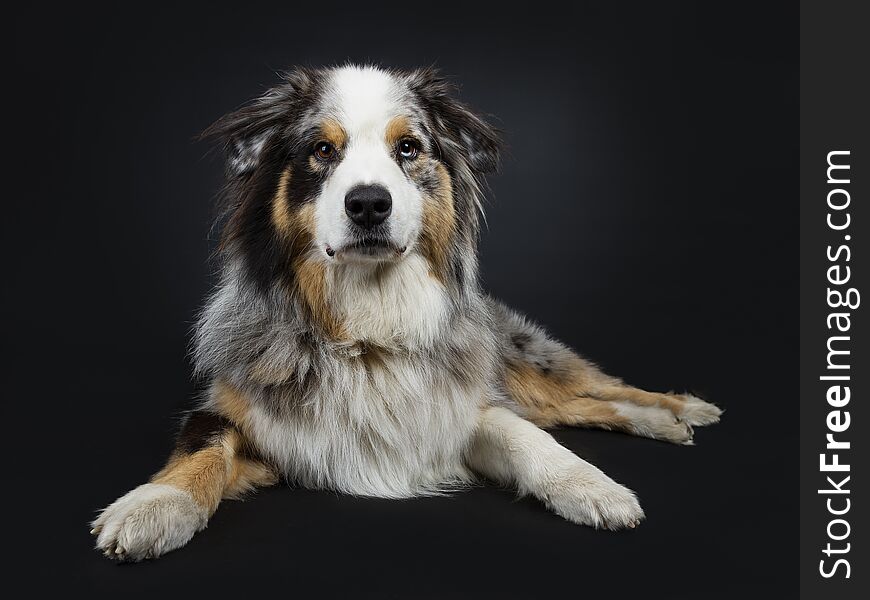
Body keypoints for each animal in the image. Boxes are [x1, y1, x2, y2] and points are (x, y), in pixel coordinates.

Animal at [90, 63, 724, 560]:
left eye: (409, 149)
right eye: (322, 150)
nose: (369, 203)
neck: (367, 328)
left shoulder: (463, 405)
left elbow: (529, 440)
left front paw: (594, 487)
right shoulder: (238, 412)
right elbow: (201, 447)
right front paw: (152, 506)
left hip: (523, 362)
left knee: (591, 391)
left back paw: (681, 409)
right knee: (577, 407)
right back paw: (668, 423)